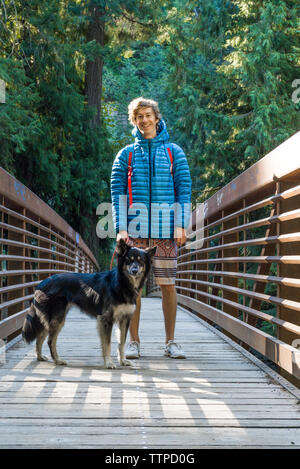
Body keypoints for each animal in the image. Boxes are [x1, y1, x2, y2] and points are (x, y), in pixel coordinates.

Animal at [22, 239, 156, 368]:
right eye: (129, 259)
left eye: (140, 260)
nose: (134, 270)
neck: (122, 283)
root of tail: (42, 283)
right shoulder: (106, 319)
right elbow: (107, 343)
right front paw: (108, 363)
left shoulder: (125, 319)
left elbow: (121, 342)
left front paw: (122, 361)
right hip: (57, 319)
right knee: (50, 341)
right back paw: (58, 360)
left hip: (50, 319)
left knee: (40, 338)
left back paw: (40, 357)